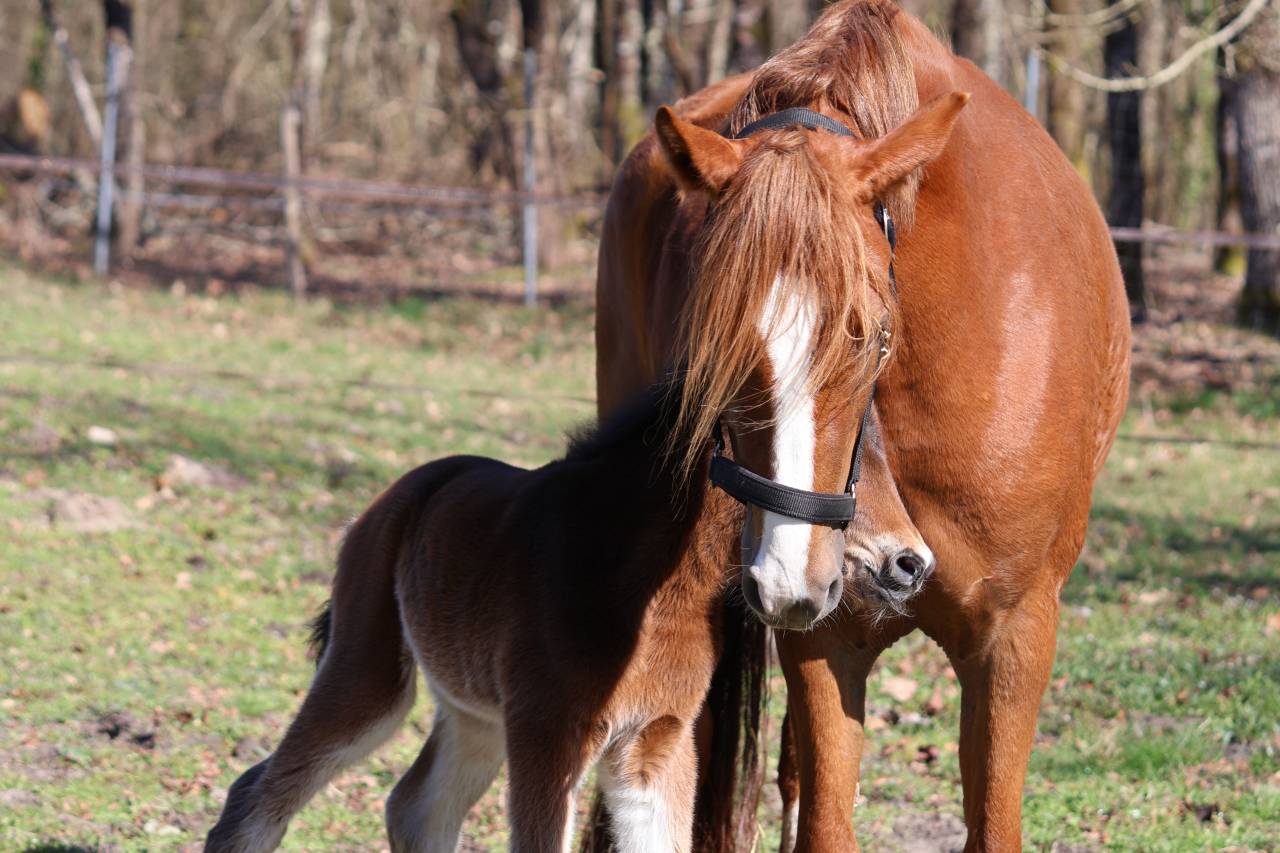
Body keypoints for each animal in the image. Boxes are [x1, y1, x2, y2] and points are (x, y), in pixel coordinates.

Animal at [202, 376, 929, 853]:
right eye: (843, 464)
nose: (912, 562)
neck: (637, 581)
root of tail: (396, 498)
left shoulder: (655, 741)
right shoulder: (549, 735)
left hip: (475, 712)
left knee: (415, 808)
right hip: (370, 674)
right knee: (258, 796)